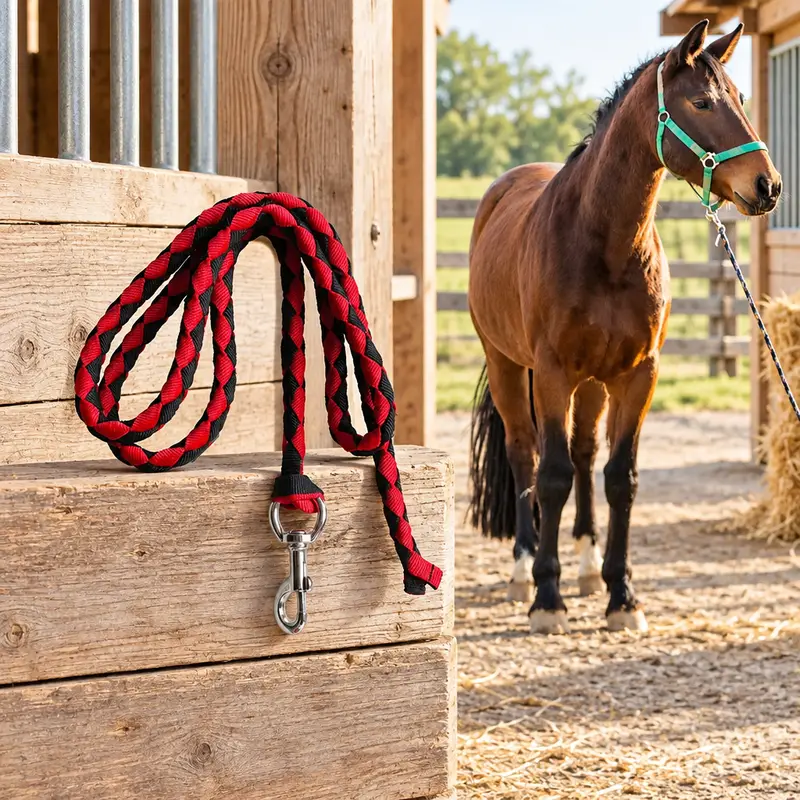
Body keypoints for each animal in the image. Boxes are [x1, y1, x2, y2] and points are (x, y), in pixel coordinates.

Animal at [467, 20, 781, 635]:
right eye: (701, 102)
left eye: (740, 97)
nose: (768, 185)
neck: (605, 245)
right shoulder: (553, 374)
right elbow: (553, 476)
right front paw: (548, 597)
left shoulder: (638, 376)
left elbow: (619, 478)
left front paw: (621, 593)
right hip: (508, 365)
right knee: (525, 454)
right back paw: (523, 569)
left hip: (592, 384)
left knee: (586, 454)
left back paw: (587, 566)